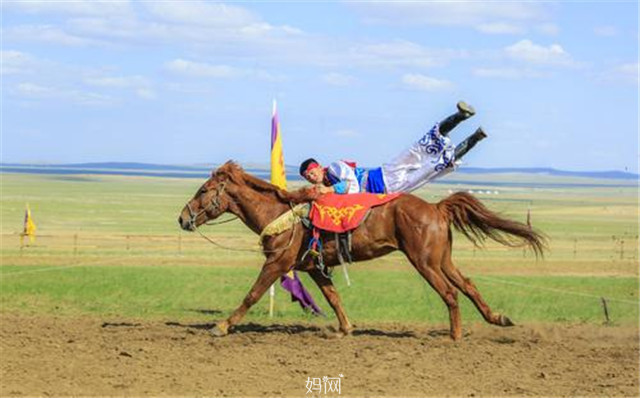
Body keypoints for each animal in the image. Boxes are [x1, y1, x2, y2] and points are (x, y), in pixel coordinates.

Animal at [176, 160, 544, 340]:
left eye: (204, 189)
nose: (182, 217)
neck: (280, 214)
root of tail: (436, 208)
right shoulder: (314, 268)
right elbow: (333, 298)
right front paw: (346, 329)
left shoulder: (278, 263)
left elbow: (252, 294)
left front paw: (221, 326)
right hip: (442, 259)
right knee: (467, 285)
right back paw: (498, 319)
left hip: (424, 262)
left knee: (451, 293)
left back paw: (454, 336)